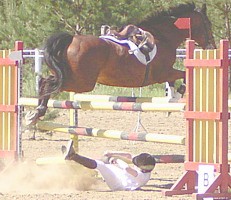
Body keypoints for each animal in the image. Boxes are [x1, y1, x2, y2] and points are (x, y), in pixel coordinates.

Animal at [25, 2, 217, 125]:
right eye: (207, 24)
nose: (212, 47)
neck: (164, 37)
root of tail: (71, 39)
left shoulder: (165, 73)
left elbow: (175, 80)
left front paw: (172, 99)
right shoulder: (162, 72)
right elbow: (183, 75)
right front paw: (177, 95)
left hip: (70, 76)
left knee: (45, 81)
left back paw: (35, 113)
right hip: (82, 82)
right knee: (48, 83)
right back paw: (38, 112)